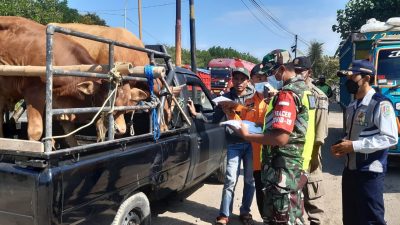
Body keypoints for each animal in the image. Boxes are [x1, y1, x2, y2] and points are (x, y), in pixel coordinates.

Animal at [0, 16, 146, 142]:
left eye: (127, 102)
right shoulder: (34, 92)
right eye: (107, 99)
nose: (121, 130)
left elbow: (69, 136)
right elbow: (35, 131)